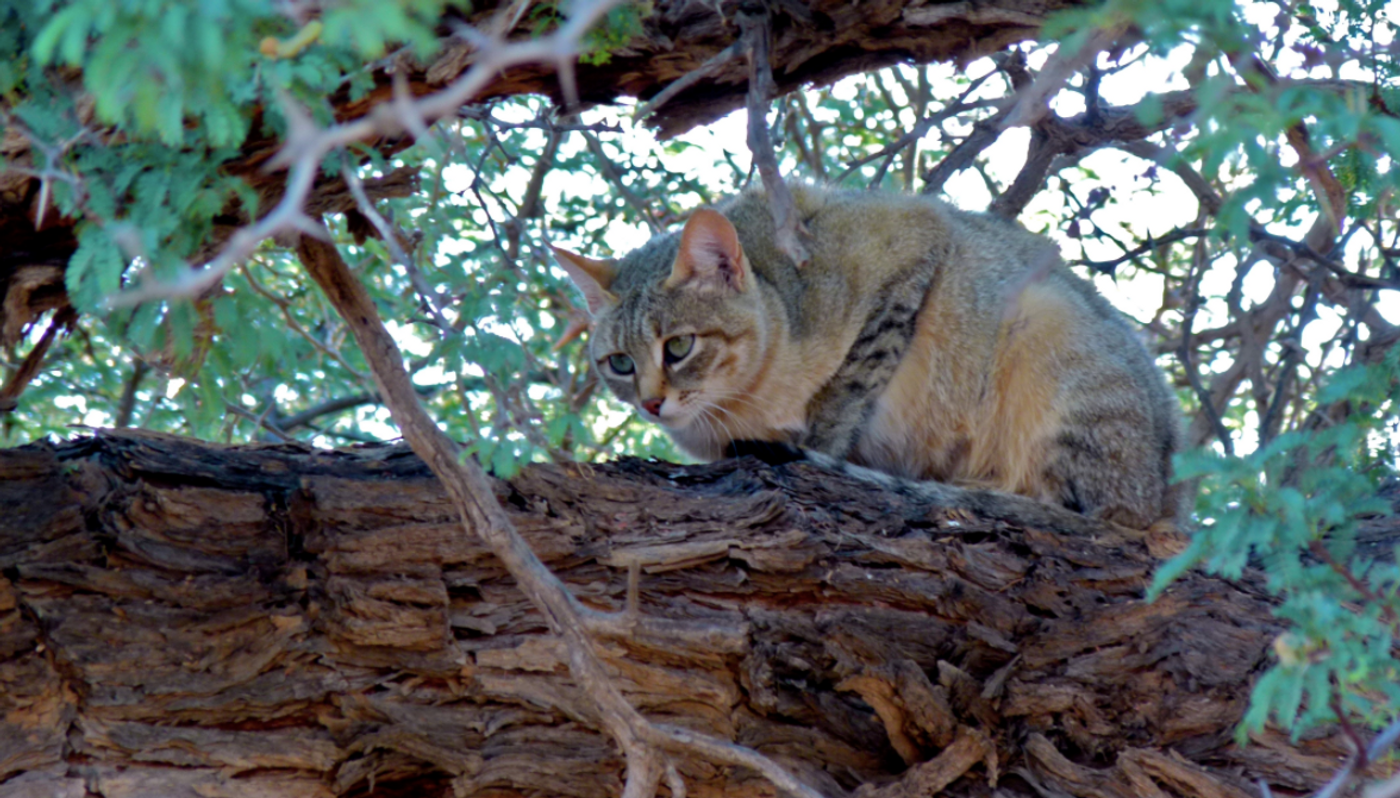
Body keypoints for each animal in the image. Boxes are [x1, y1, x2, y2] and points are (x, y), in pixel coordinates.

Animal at [551, 186, 1187, 529]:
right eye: (619, 364)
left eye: (678, 346)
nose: (651, 404)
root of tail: (1167, 495)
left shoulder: (913, 244)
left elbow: (849, 387)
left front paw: (817, 446)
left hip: (1048, 320)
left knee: (1086, 512)